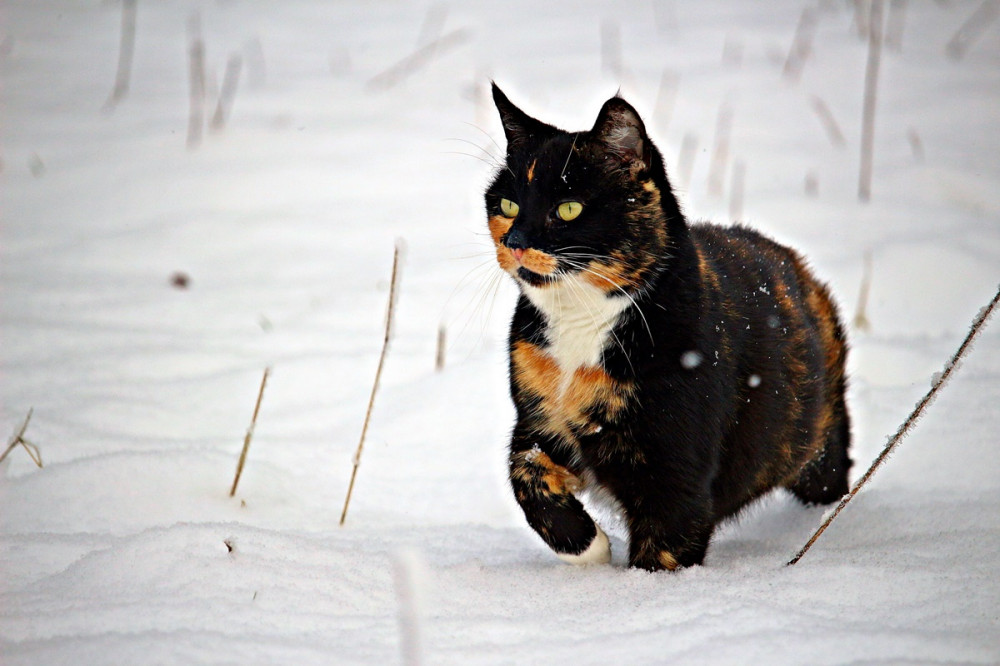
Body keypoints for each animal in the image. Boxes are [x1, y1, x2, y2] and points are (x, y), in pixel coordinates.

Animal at [484, 84, 852, 572]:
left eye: (568, 209)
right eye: (508, 205)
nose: (516, 242)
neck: (580, 324)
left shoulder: (676, 467)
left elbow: (666, 544)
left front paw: (645, 586)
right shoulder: (536, 415)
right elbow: (525, 471)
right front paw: (588, 548)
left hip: (816, 444)